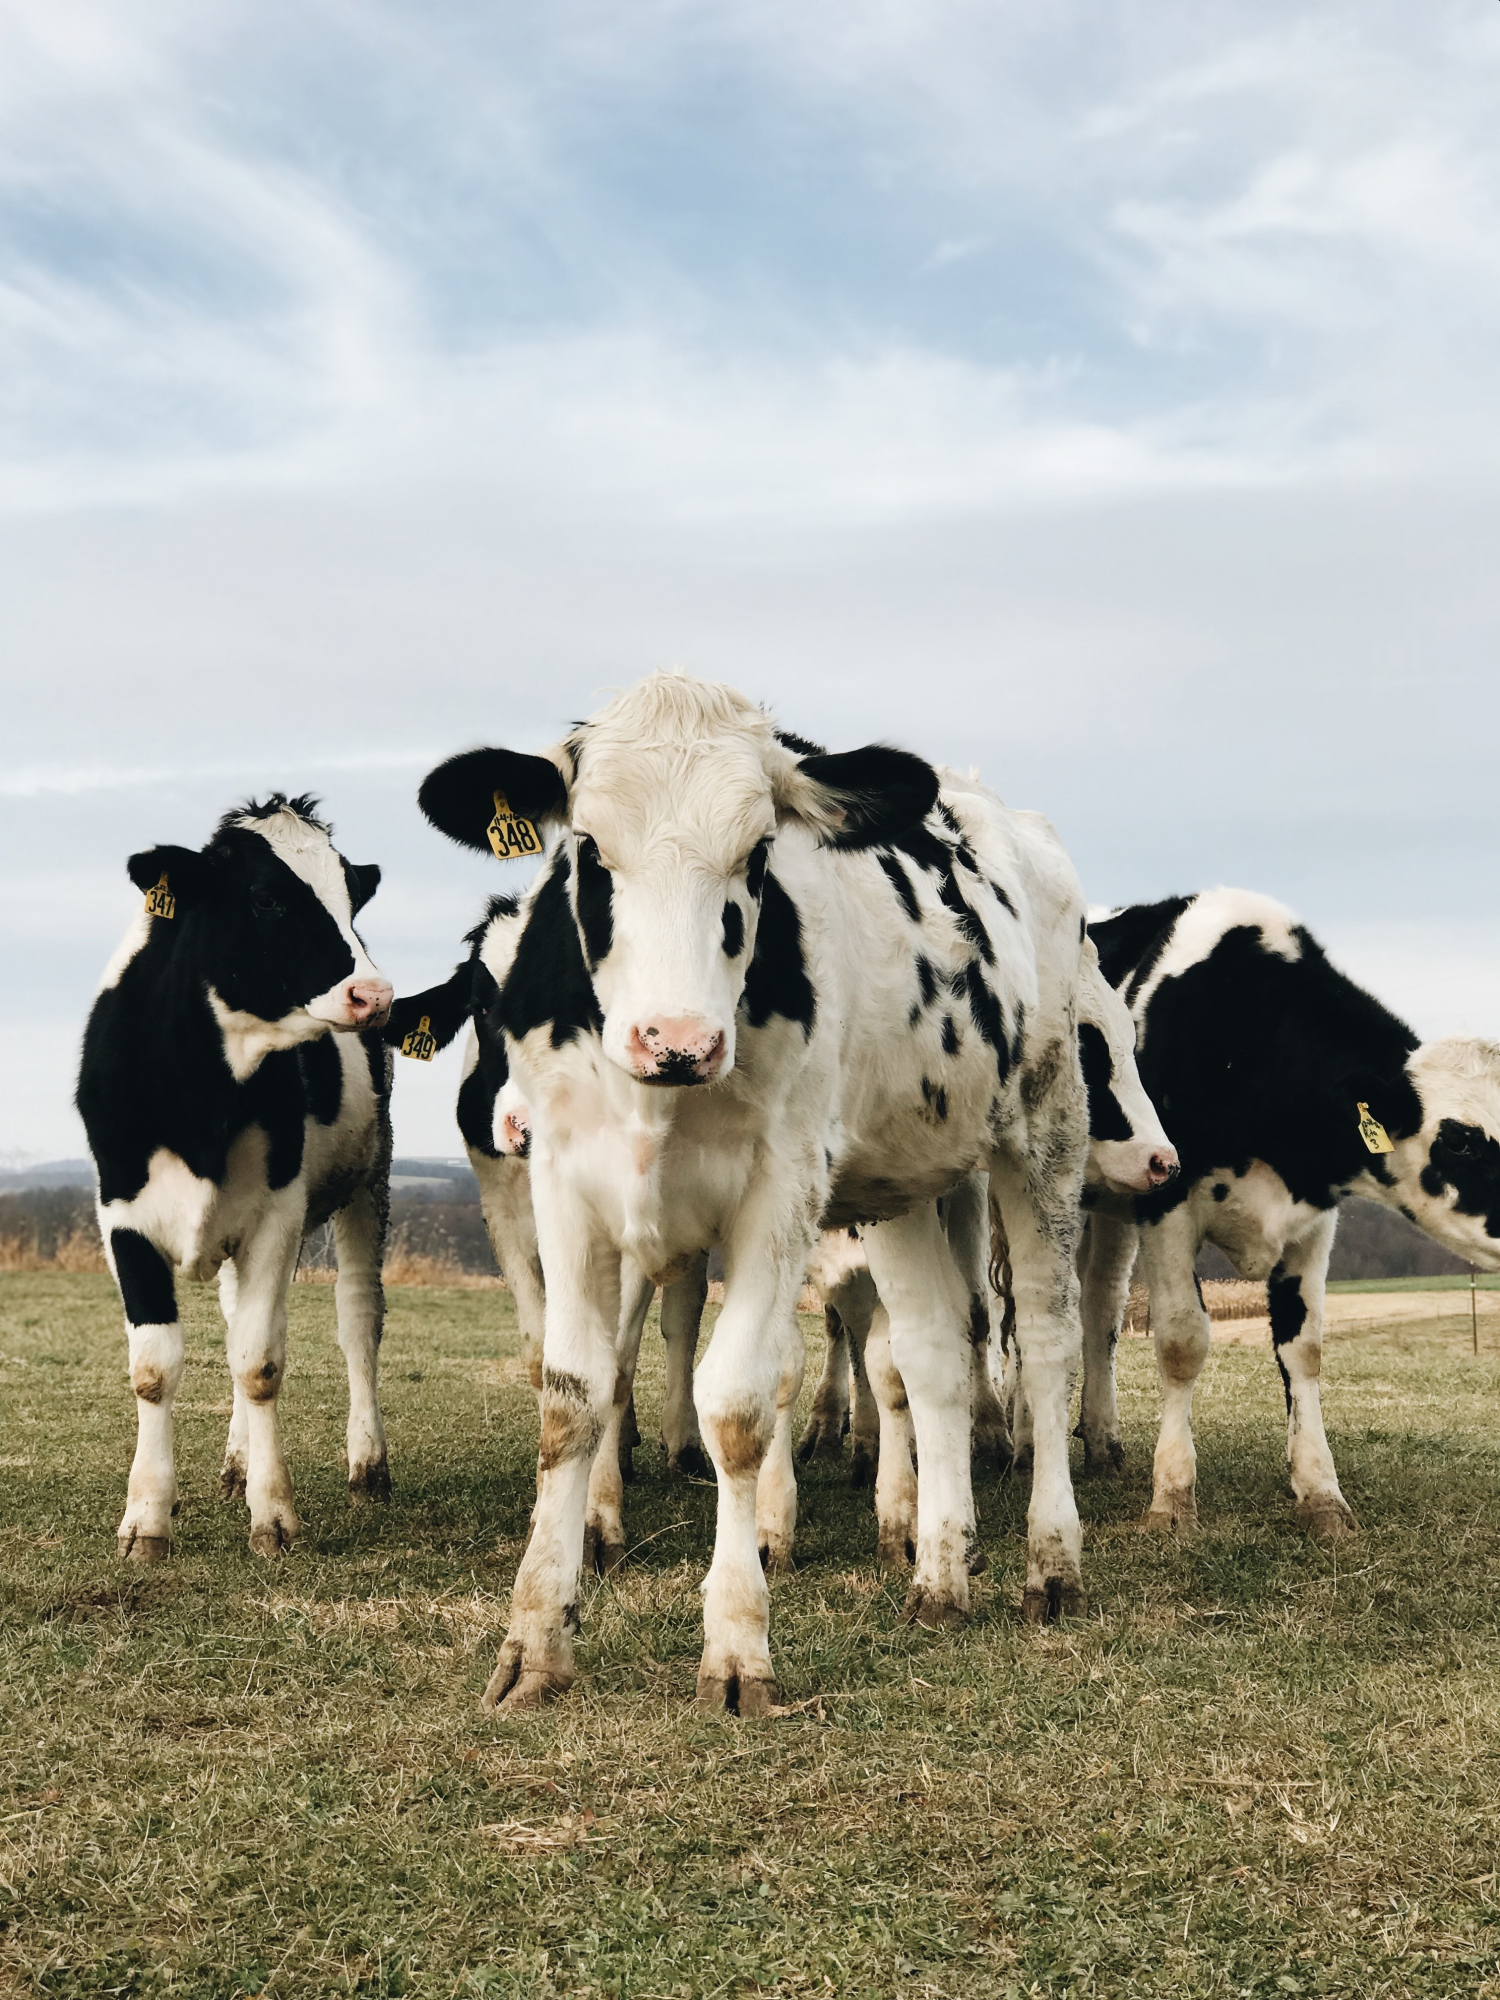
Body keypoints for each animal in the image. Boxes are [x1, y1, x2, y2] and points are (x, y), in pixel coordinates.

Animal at [76, 795, 395, 1562]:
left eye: (352, 898)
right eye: (267, 898)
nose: (374, 994)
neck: (201, 1093)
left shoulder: (276, 1213)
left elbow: (259, 1363)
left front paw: (273, 1516)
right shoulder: (121, 1215)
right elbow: (155, 1367)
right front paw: (146, 1520)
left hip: (368, 1182)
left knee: (357, 1320)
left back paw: (367, 1464)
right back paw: (236, 1462)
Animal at [415, 672, 1105, 1716]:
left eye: (758, 853)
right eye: (588, 848)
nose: (677, 1040)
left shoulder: (780, 1194)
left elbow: (737, 1406)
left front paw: (737, 1645)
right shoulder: (565, 1185)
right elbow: (571, 1397)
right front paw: (535, 1640)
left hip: (1043, 1131)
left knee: (1049, 1337)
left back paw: (1052, 1563)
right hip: (902, 1180)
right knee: (934, 1356)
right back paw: (940, 1575)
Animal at [1083, 888, 1500, 1538]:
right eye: (1459, 1140)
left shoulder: (1314, 1219)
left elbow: (1303, 1349)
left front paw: (1320, 1491)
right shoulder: (1165, 1203)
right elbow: (1181, 1340)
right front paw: (1172, 1495)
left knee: (1099, 1307)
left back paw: (1100, 1443)